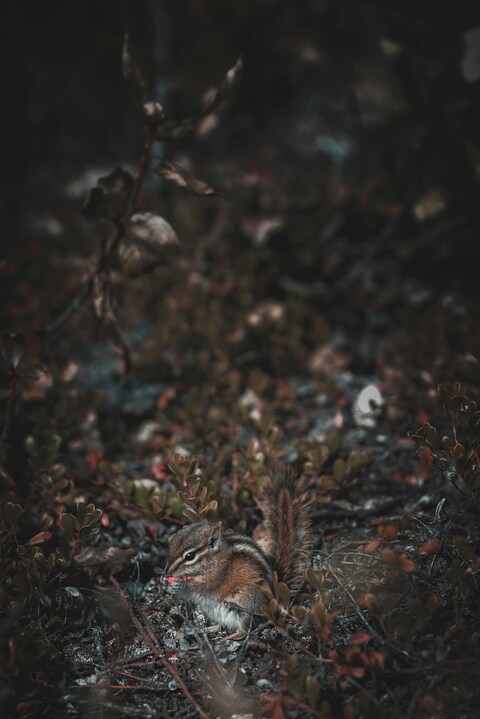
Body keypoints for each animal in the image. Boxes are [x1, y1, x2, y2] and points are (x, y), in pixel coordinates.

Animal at [165, 468, 312, 639]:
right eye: (171, 545)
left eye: (190, 556)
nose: (166, 572)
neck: (214, 560)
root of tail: (275, 597)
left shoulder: (217, 576)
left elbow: (203, 586)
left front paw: (182, 584)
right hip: (216, 611)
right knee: (220, 625)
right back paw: (203, 630)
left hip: (241, 604)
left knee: (243, 630)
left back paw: (227, 639)